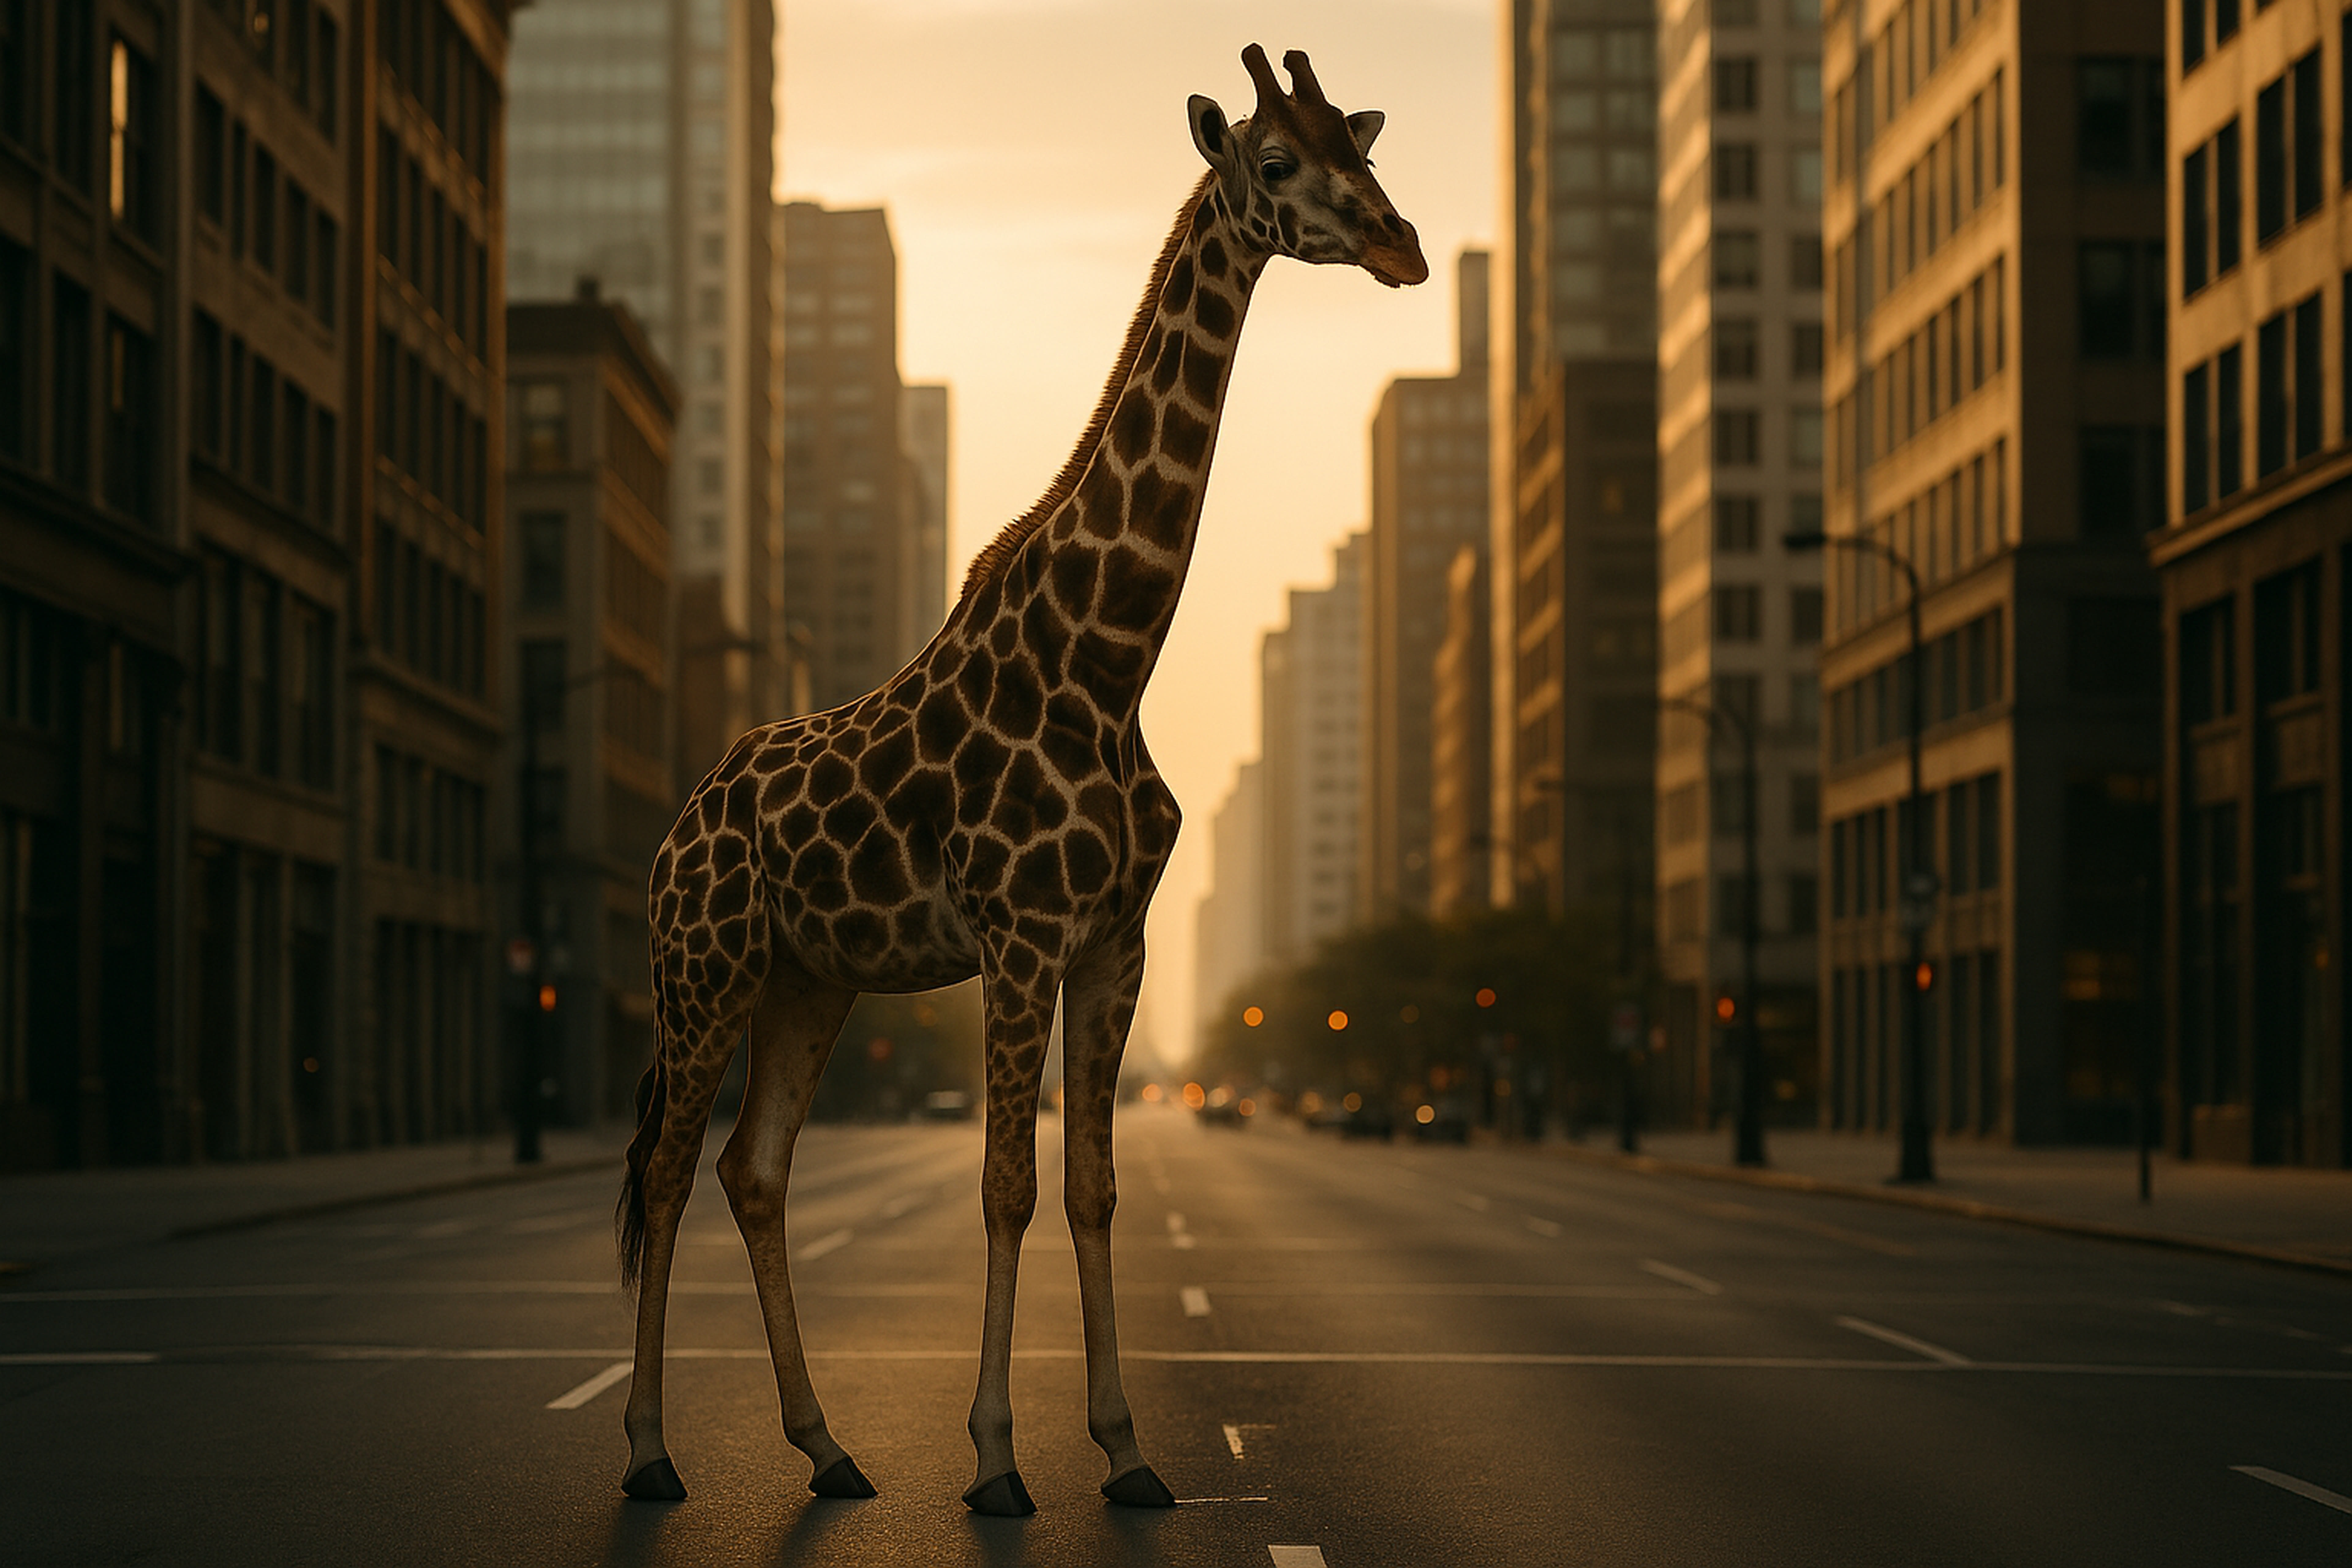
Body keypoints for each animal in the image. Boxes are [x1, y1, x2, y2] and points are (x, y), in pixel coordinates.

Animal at [613, 43, 1425, 1516]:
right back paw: (650, 1452)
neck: (1109, 658)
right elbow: (1005, 1184)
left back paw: (828, 1446)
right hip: (703, 967)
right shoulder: (1019, 931)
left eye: (1365, 146)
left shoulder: (1115, 940)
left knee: (753, 1169)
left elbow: (1093, 1185)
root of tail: (679, 824)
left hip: (809, 978)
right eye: (1278, 160)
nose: (1404, 247)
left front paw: (1127, 1451)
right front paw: (995, 1460)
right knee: (661, 1170)